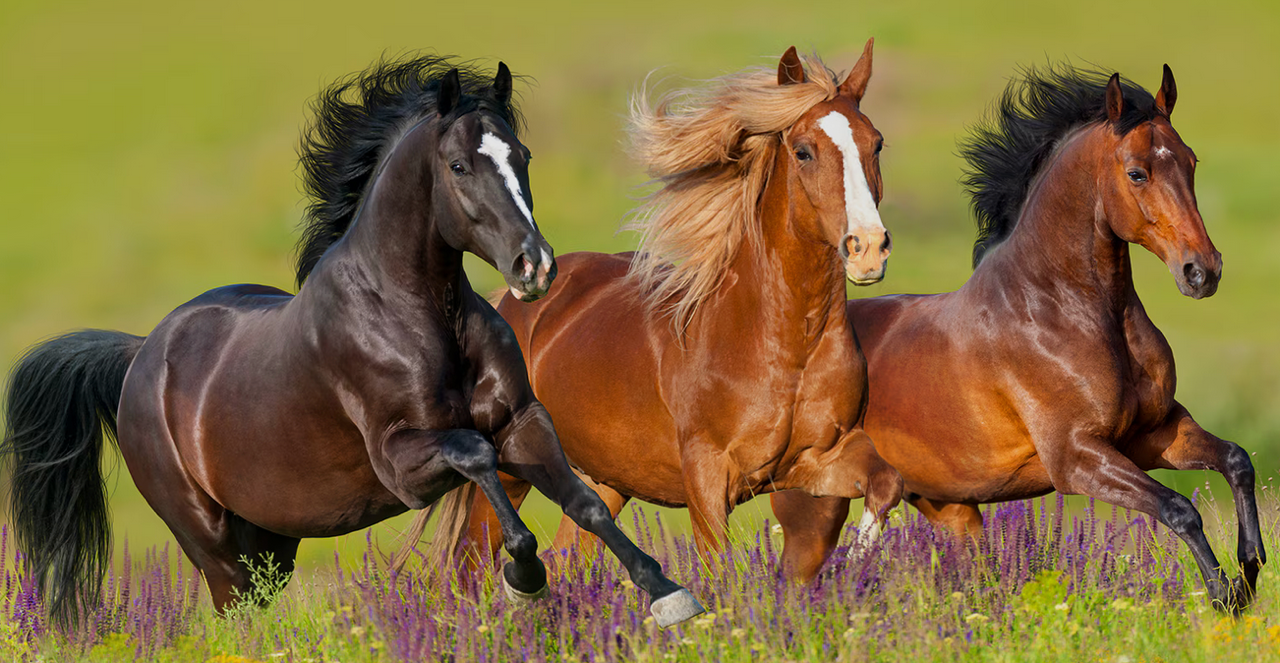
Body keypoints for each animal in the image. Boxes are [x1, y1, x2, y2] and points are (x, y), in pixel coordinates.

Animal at [2, 55, 704, 629]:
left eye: (522, 156)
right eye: (458, 165)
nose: (535, 268)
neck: (419, 316)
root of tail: (140, 355)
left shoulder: (523, 422)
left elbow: (586, 503)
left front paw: (668, 594)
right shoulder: (404, 464)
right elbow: (477, 456)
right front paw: (525, 579)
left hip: (271, 544)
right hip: (213, 545)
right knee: (236, 619)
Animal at [444, 42, 905, 564]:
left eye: (876, 144)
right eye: (804, 151)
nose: (868, 248)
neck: (786, 345)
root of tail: (512, 303)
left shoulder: (819, 459)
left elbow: (886, 483)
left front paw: (857, 561)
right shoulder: (706, 477)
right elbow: (719, 567)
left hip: (604, 482)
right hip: (508, 472)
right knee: (470, 561)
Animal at [770, 64, 1266, 611]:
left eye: (1191, 161)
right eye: (1137, 172)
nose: (1202, 271)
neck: (1061, 310)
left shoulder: (1154, 433)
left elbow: (1236, 461)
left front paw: (1250, 568)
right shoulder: (1077, 458)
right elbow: (1180, 509)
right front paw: (1225, 596)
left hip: (951, 509)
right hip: (815, 508)